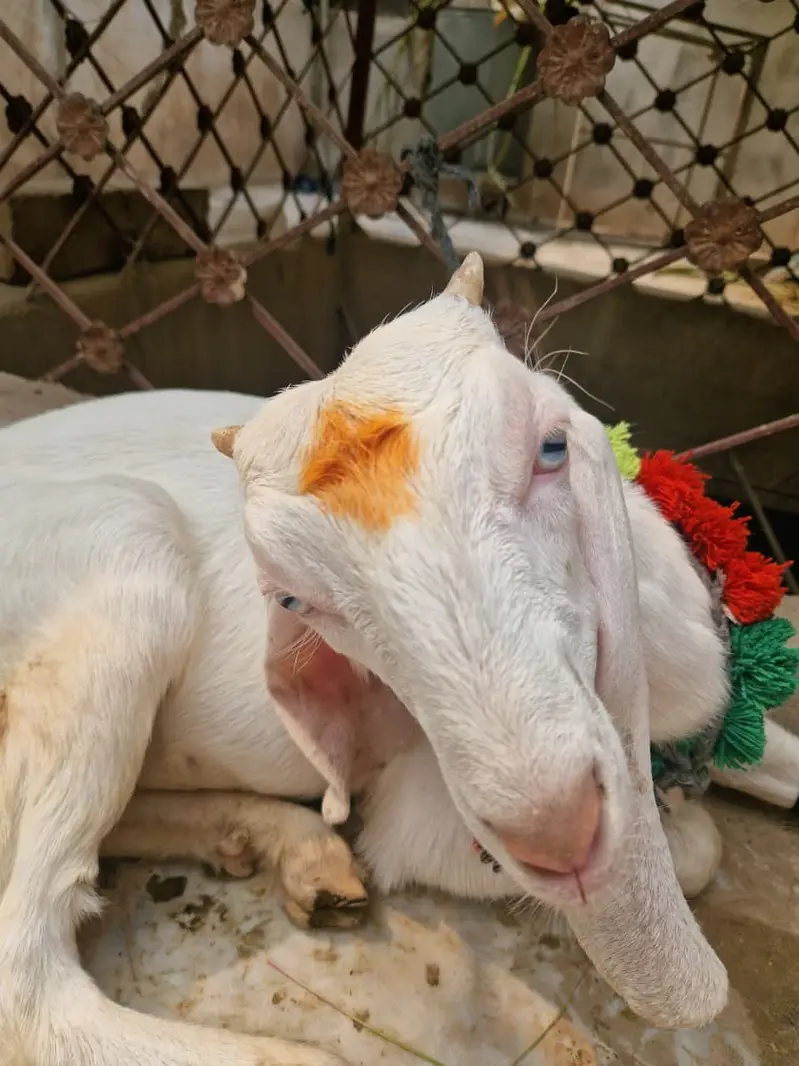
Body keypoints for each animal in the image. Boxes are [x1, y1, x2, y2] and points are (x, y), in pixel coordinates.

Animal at [1, 252, 797, 1065]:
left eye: (551, 448)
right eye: (292, 599)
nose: (555, 830)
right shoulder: (430, 820)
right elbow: (696, 849)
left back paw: (287, 849)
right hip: (127, 549)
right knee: (30, 984)